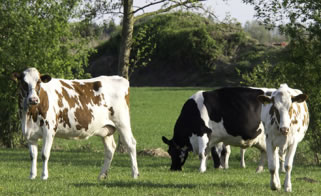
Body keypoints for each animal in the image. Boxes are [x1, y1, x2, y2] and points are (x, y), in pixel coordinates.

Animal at [10, 68, 139, 181]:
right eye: (24, 83)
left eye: (39, 82)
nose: (33, 99)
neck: (30, 114)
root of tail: (119, 78)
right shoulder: (29, 134)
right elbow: (33, 156)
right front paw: (32, 176)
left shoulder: (49, 130)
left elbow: (44, 154)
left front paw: (44, 176)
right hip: (106, 129)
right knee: (110, 149)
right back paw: (102, 175)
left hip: (122, 122)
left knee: (131, 144)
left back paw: (135, 174)